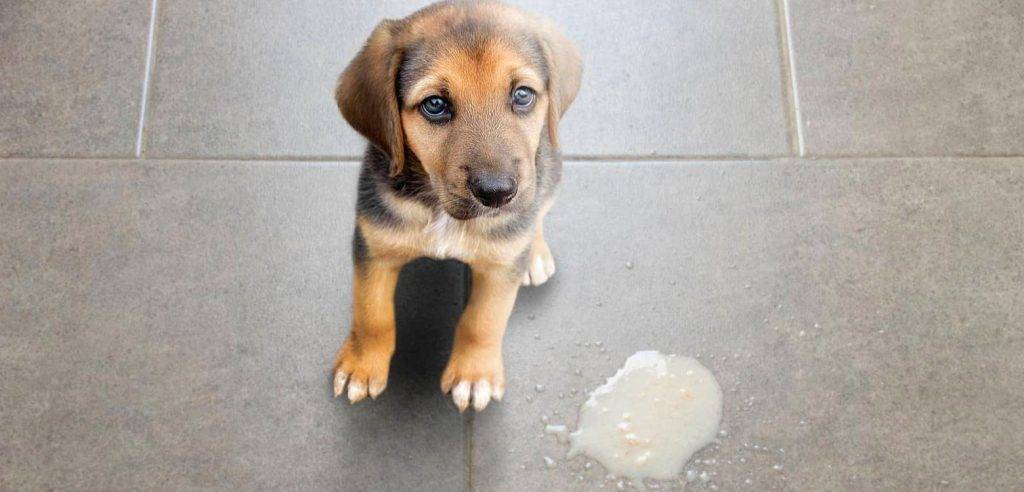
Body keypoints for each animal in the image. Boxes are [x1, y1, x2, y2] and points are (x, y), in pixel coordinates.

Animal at [331, 1, 581, 414]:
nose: (497, 193)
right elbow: (372, 314)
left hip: (549, 172)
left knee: (538, 212)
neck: (441, 211)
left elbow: (483, 321)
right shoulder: (373, 245)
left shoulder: (499, 268)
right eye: (435, 105)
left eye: (523, 95)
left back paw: (535, 254)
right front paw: (362, 365)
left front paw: (474, 375)